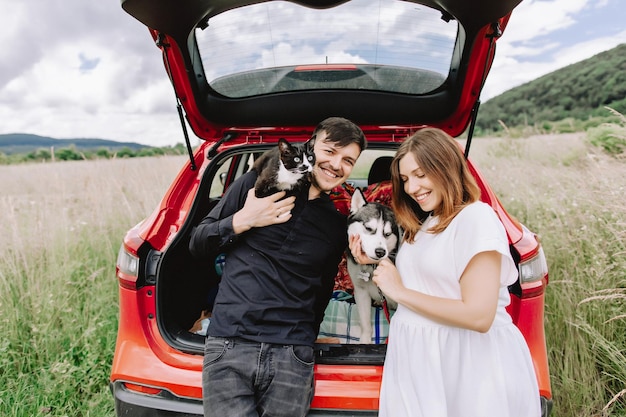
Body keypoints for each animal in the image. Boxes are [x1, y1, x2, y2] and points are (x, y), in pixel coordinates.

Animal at [344, 188, 398, 342]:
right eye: (368, 228)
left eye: (387, 234)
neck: (372, 267)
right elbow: (365, 323)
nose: (380, 252)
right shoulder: (361, 291)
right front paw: (365, 341)